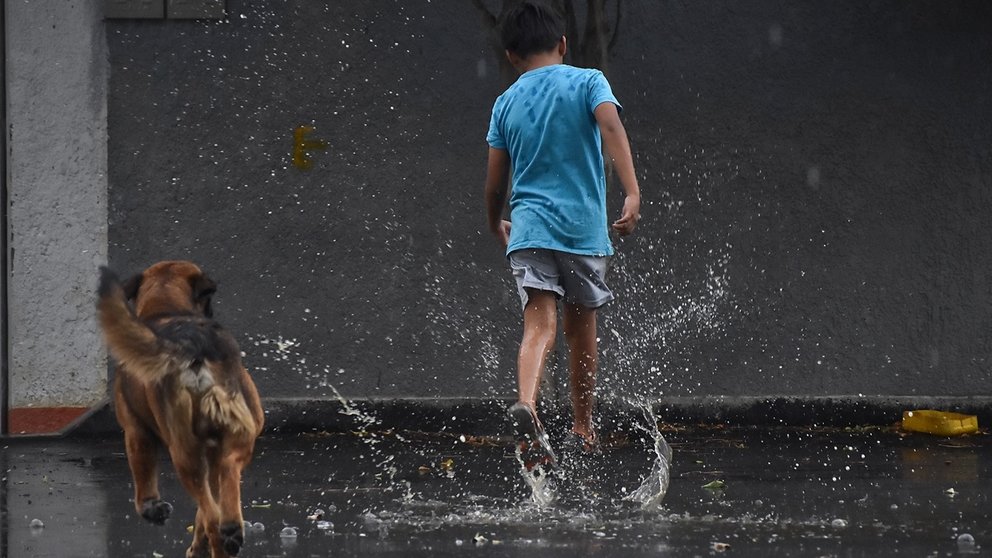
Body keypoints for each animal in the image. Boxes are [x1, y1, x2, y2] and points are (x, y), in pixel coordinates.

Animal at [97, 264, 264, 558]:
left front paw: (152, 508)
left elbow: (144, 482)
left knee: (212, 515)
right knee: (227, 475)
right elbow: (206, 505)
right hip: (240, 432)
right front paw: (199, 544)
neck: (166, 307)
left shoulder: (135, 430)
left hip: (183, 452)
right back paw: (231, 528)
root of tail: (192, 342)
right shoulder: (214, 449)